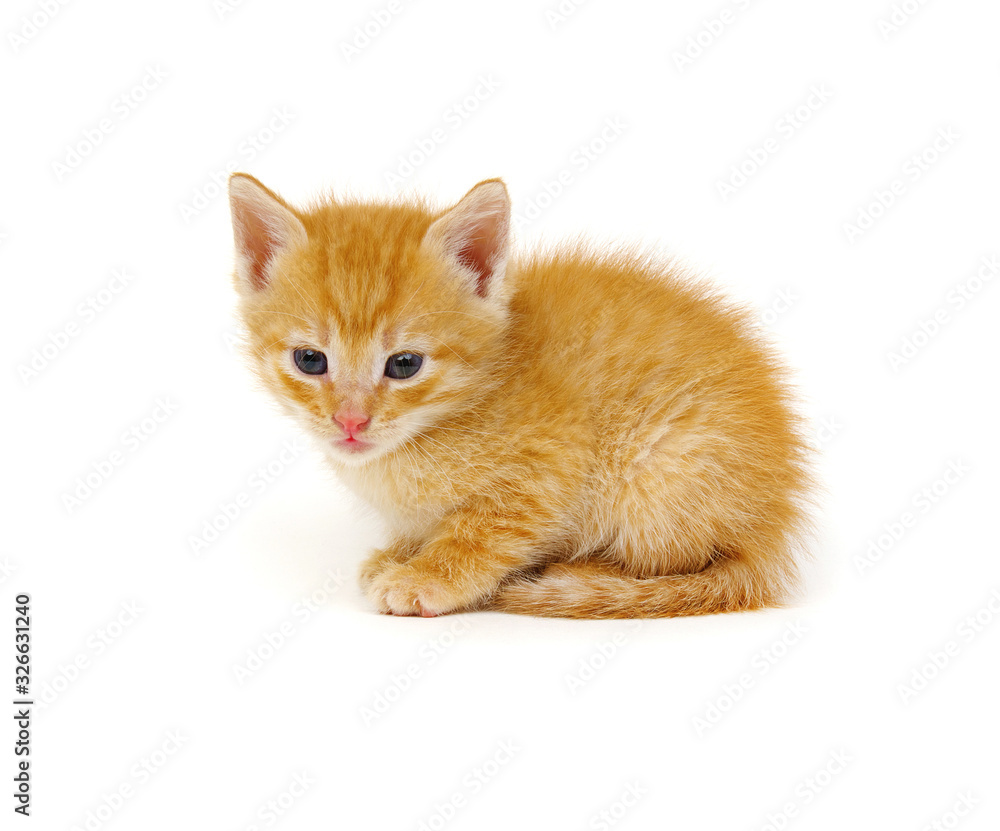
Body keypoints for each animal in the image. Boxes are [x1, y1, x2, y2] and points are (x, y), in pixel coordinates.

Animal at [229, 174, 812, 616]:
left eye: (404, 364)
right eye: (310, 360)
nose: (350, 422)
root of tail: (774, 521)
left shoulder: (550, 464)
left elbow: (484, 532)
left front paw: (427, 577)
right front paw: (401, 554)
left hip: (662, 466)